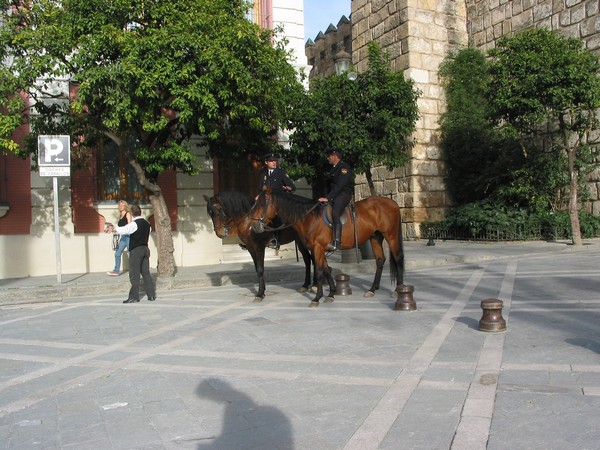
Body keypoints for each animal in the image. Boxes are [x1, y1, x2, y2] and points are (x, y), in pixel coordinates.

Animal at [251, 188, 406, 308]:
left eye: (262, 204)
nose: (254, 226)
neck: (309, 217)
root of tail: (392, 202)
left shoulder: (317, 248)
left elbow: (319, 272)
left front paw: (317, 298)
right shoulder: (319, 250)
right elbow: (325, 270)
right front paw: (331, 293)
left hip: (391, 236)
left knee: (398, 258)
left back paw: (398, 289)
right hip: (375, 238)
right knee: (380, 260)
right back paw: (372, 289)